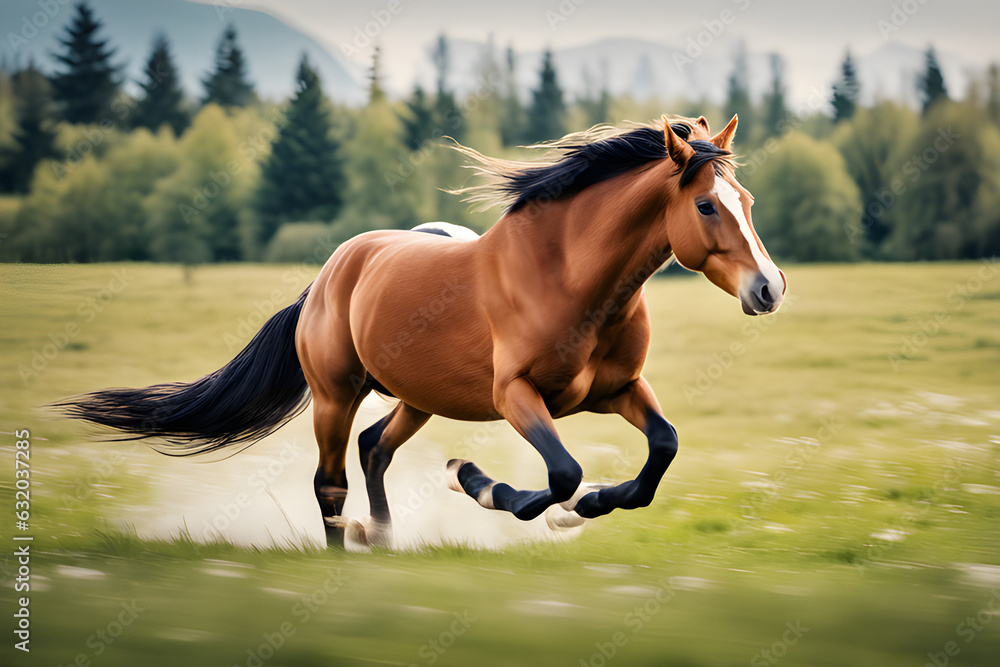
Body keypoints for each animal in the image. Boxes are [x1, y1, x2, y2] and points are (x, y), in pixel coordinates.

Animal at [55, 114, 786, 548]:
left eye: (747, 202)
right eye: (705, 205)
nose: (770, 287)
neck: (571, 279)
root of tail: (327, 276)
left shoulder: (617, 389)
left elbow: (661, 449)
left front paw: (591, 504)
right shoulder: (515, 396)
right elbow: (560, 473)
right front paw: (481, 480)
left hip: (419, 396)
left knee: (375, 447)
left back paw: (380, 536)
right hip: (335, 395)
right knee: (331, 480)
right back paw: (348, 546)